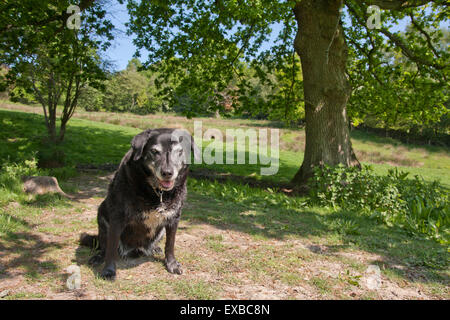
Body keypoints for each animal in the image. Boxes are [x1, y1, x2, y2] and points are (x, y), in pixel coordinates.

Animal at [81, 127, 200, 280]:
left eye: (179, 151)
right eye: (154, 151)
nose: (167, 173)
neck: (157, 192)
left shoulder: (173, 218)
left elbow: (170, 244)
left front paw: (172, 264)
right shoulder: (117, 218)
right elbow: (111, 248)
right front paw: (109, 271)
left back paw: (155, 248)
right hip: (102, 218)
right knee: (104, 246)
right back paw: (99, 257)